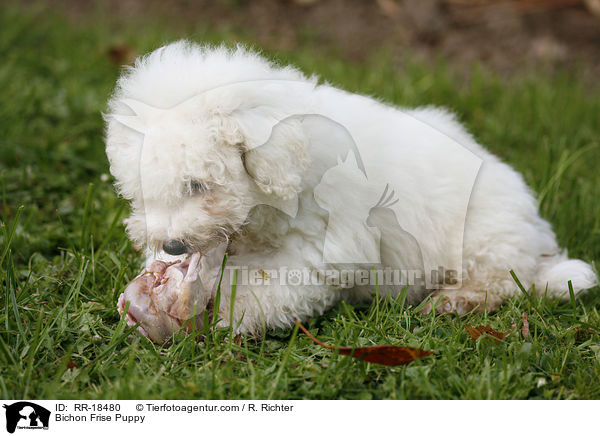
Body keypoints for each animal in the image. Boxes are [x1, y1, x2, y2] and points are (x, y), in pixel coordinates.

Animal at [105, 41, 596, 338]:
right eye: (142, 193)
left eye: (197, 184)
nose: (172, 245)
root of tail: (536, 243)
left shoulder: (323, 244)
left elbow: (273, 283)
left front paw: (228, 314)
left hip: (483, 234)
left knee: (502, 282)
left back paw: (456, 301)